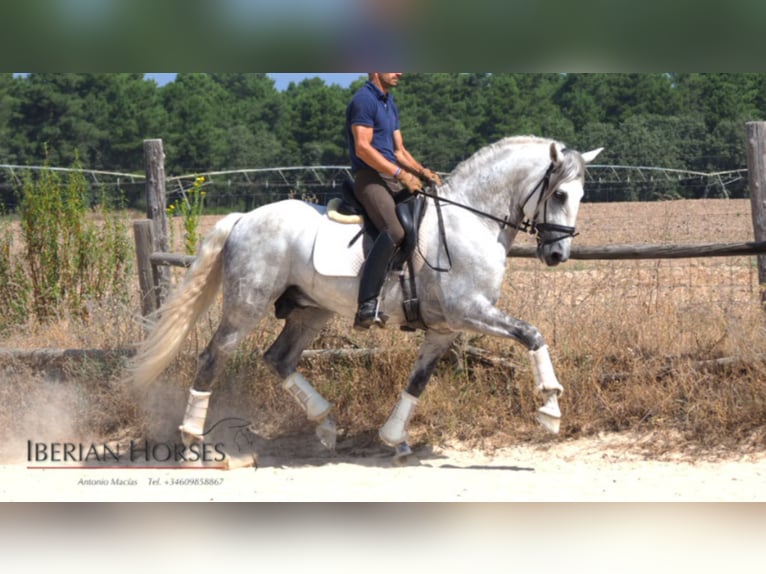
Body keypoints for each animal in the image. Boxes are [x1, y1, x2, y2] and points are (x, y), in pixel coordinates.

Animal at [129, 136, 604, 464]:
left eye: (582, 196)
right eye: (560, 194)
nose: (557, 255)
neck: (470, 220)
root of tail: (245, 217)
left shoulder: (445, 328)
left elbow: (417, 381)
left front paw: (394, 439)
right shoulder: (470, 312)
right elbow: (532, 334)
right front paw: (550, 407)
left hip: (310, 311)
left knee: (279, 358)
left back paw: (325, 425)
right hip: (247, 305)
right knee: (214, 356)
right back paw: (193, 437)